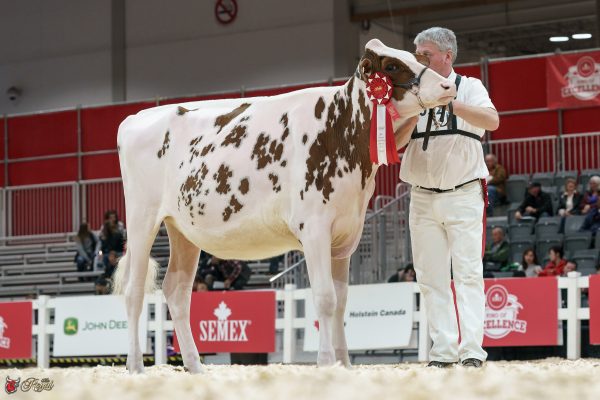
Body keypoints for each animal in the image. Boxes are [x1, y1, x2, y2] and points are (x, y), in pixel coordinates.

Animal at [113, 39, 456, 374]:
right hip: (142, 216)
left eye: (417, 58)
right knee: (134, 290)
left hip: (183, 229)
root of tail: (135, 117)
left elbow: (342, 301)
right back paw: (135, 366)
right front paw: (326, 362)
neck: (339, 130)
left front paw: (344, 363)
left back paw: (196, 367)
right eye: (393, 66)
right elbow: (325, 298)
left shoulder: (346, 235)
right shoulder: (314, 228)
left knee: (176, 291)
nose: (447, 86)